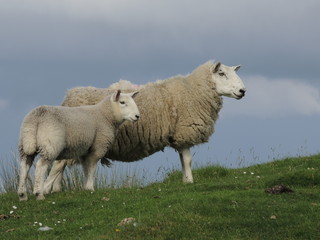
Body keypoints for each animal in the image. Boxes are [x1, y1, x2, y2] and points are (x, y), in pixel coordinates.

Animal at [44, 60, 245, 193]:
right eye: (221, 73)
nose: (243, 91)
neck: (193, 90)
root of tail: (69, 97)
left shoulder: (178, 136)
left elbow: (183, 160)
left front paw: (185, 180)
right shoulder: (184, 131)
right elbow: (188, 160)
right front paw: (189, 181)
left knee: (59, 164)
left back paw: (56, 190)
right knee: (58, 165)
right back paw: (51, 190)